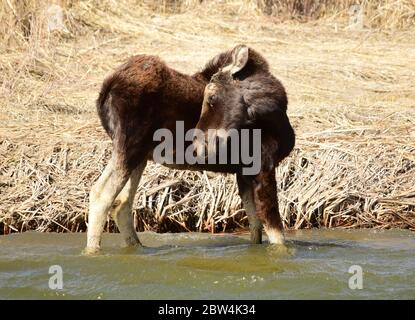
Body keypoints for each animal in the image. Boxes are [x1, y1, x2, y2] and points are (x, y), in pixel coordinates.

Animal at [87, 45, 296, 255]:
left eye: (211, 97)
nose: (198, 144)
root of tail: (107, 88)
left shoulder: (244, 172)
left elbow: (255, 226)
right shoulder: (263, 164)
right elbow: (276, 233)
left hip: (139, 155)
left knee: (121, 203)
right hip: (129, 145)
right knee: (101, 193)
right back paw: (93, 252)